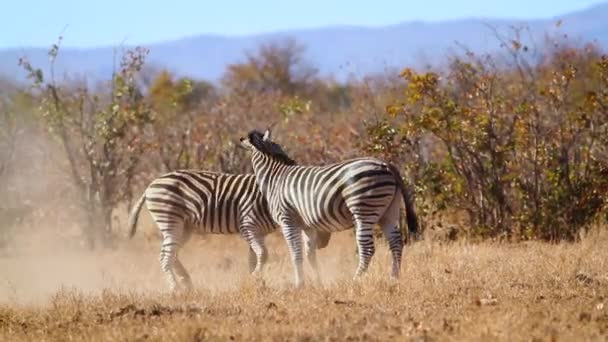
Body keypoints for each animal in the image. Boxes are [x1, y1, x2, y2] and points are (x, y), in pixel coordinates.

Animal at [127, 170, 332, 290]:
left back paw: (187, 282)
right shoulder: (248, 226)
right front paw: (255, 279)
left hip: (185, 227)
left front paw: (256, 283)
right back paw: (175, 287)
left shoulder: (256, 232)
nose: (323, 244)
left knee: (173, 254)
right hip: (171, 220)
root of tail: (150, 185)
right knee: (165, 256)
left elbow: (253, 258)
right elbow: (263, 255)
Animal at [239, 130, 418, 288]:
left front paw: (299, 285)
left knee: (367, 249)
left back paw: (355, 280)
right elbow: (310, 254)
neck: (274, 178)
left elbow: (296, 253)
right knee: (396, 243)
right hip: (389, 212)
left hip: (364, 210)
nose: (240, 139)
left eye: (248, 138)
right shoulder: (307, 226)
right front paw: (318, 282)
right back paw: (394, 278)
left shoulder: (287, 220)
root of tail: (386, 164)